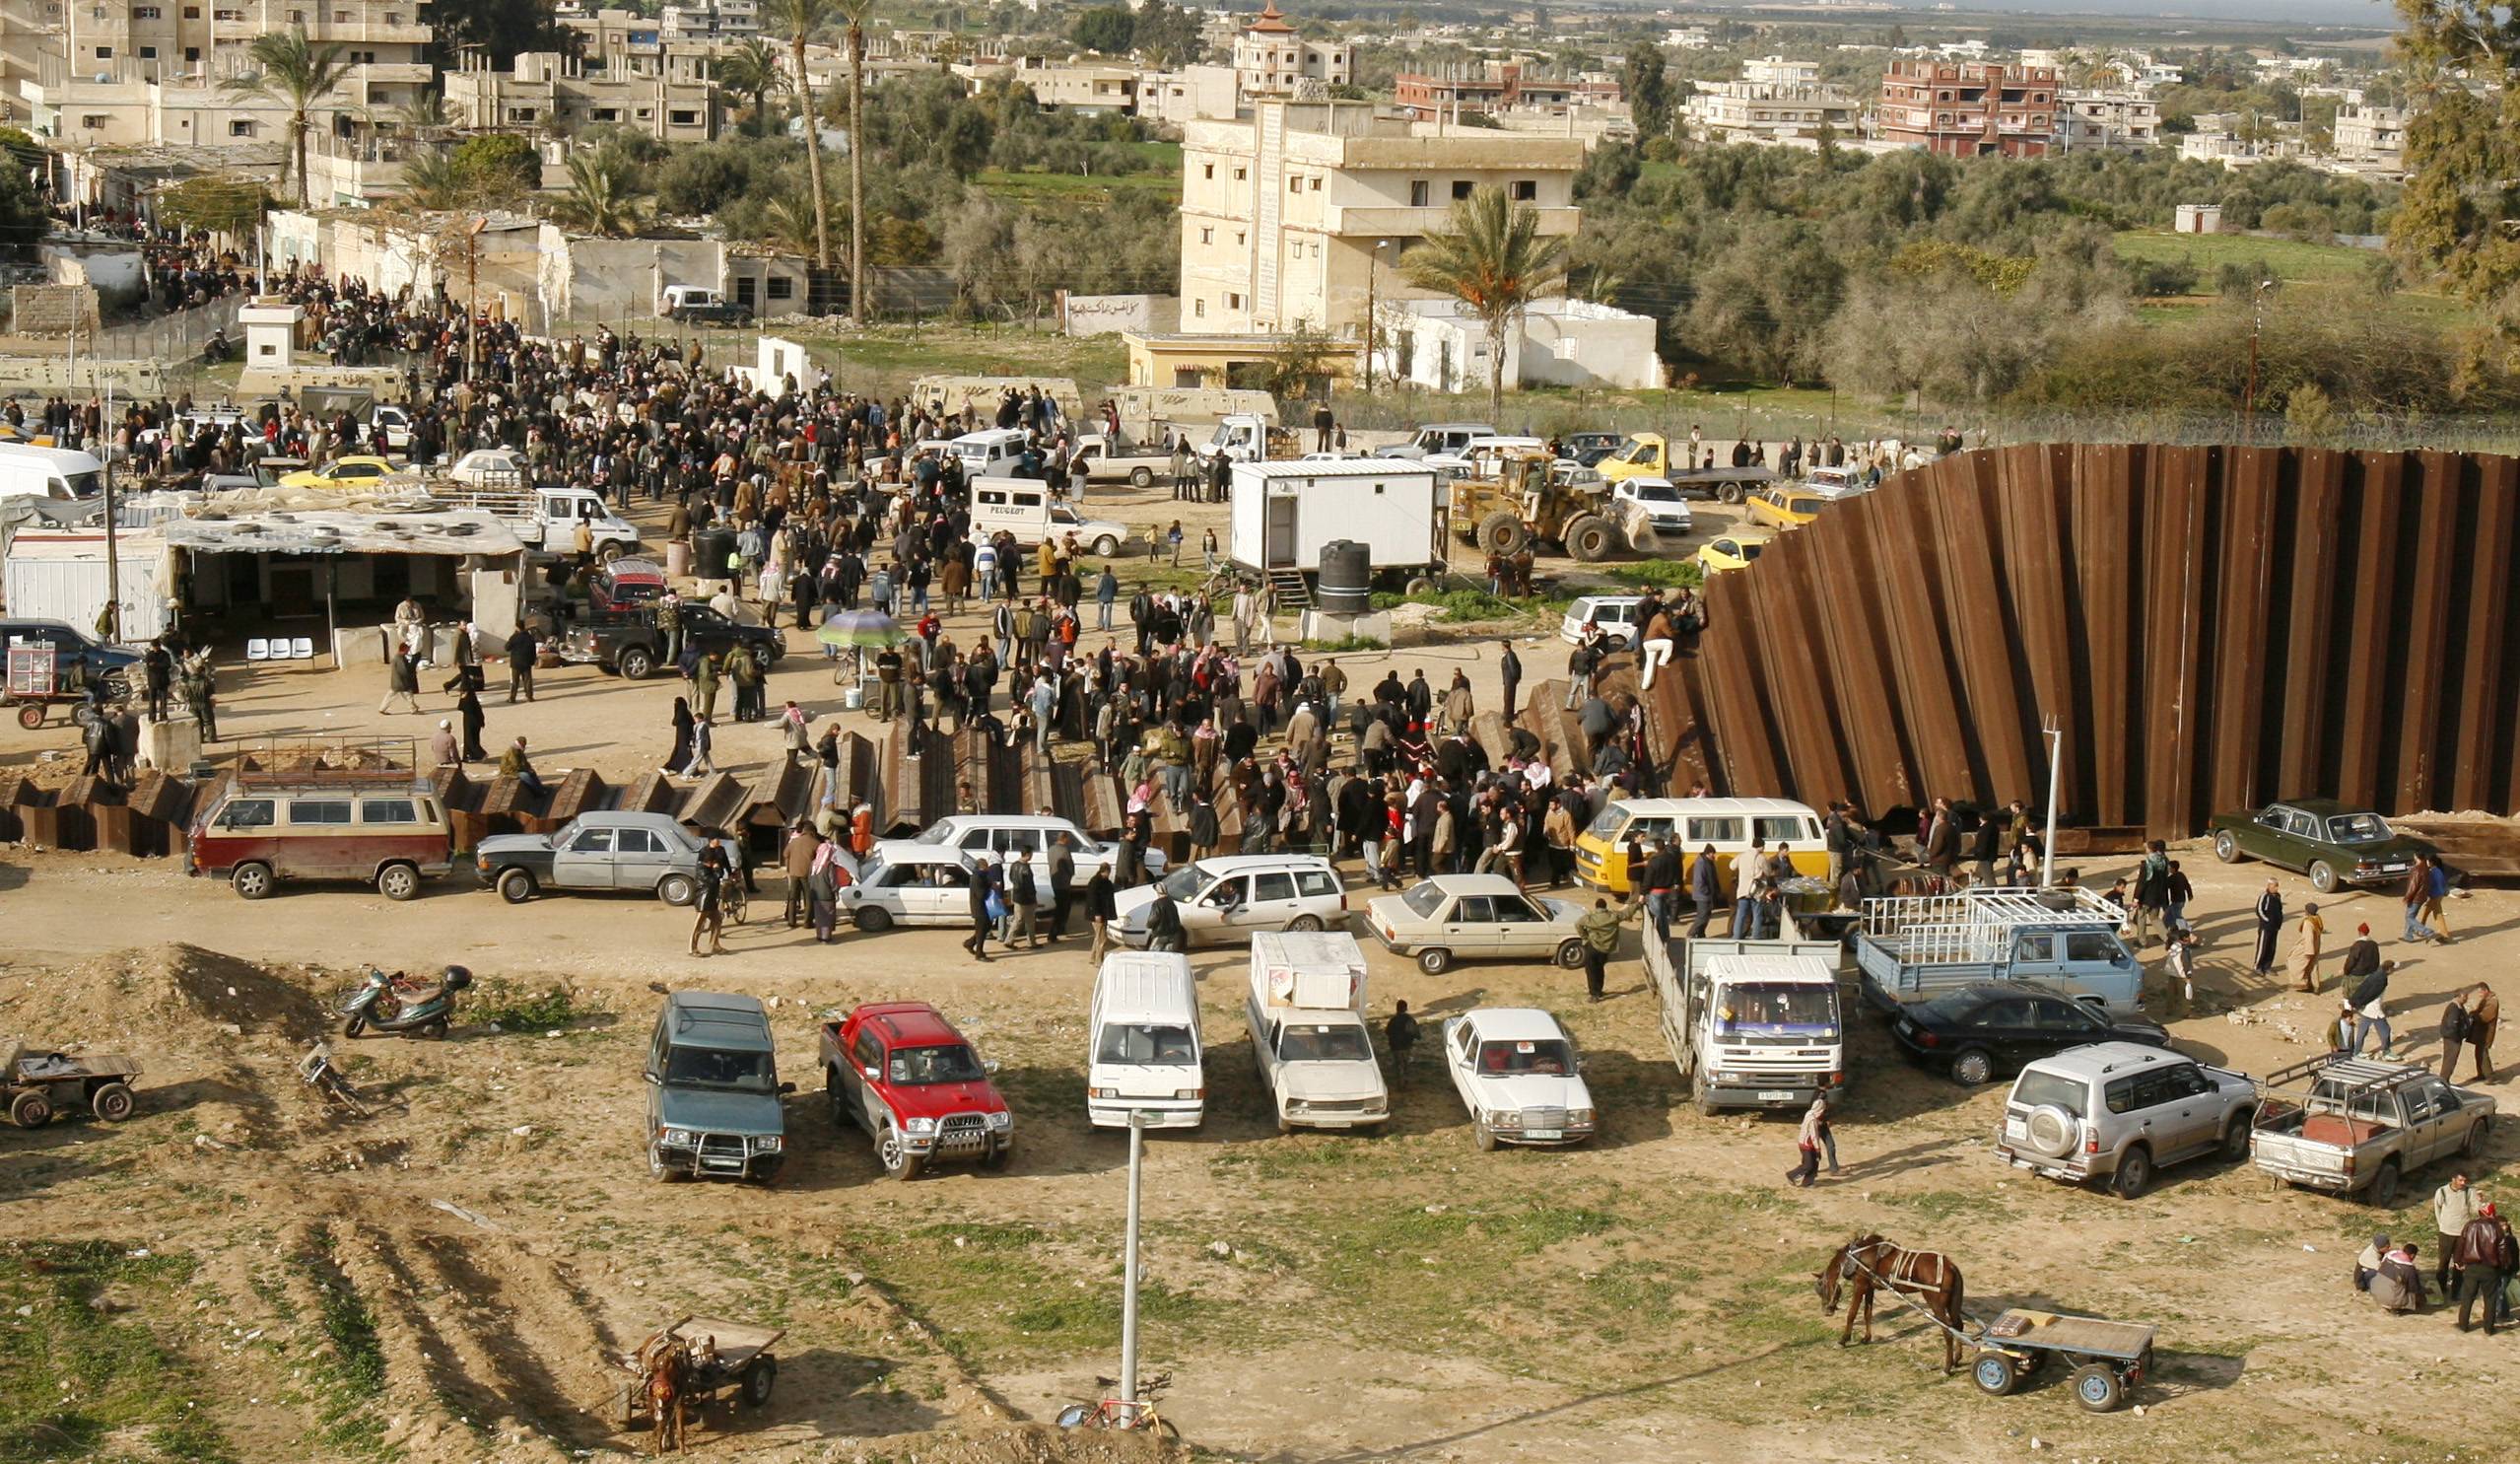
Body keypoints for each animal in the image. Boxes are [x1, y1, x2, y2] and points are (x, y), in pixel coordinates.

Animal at [1824, 1234, 1975, 1370]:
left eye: (1822, 1288)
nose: (1827, 1311)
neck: (1856, 1256)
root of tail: (1951, 1266)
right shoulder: (1869, 1288)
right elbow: (1868, 1313)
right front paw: (1866, 1338)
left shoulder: (1859, 1286)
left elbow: (1852, 1314)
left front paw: (1843, 1340)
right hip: (1951, 1305)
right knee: (1958, 1326)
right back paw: (1956, 1359)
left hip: (1936, 1304)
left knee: (1948, 1331)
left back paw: (1947, 1368)